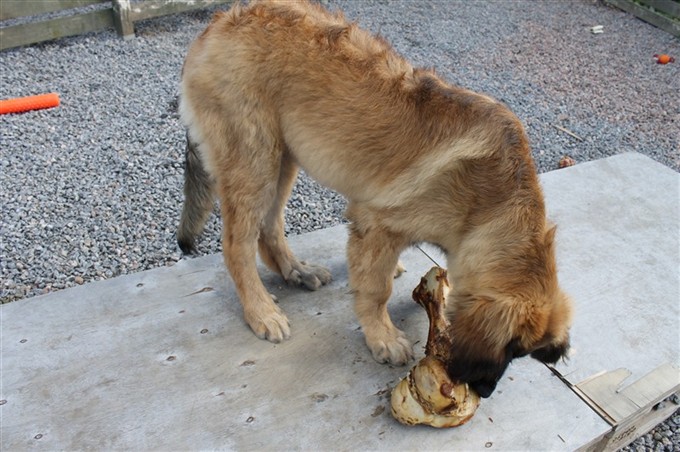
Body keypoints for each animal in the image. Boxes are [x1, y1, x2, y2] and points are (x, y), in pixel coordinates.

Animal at [178, 0, 572, 398]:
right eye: (511, 348)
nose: (485, 390)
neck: (492, 205)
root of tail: (221, 21)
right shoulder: (376, 224)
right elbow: (376, 289)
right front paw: (382, 336)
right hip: (253, 158)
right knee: (237, 244)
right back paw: (260, 311)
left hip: (282, 157)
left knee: (269, 227)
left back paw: (298, 271)